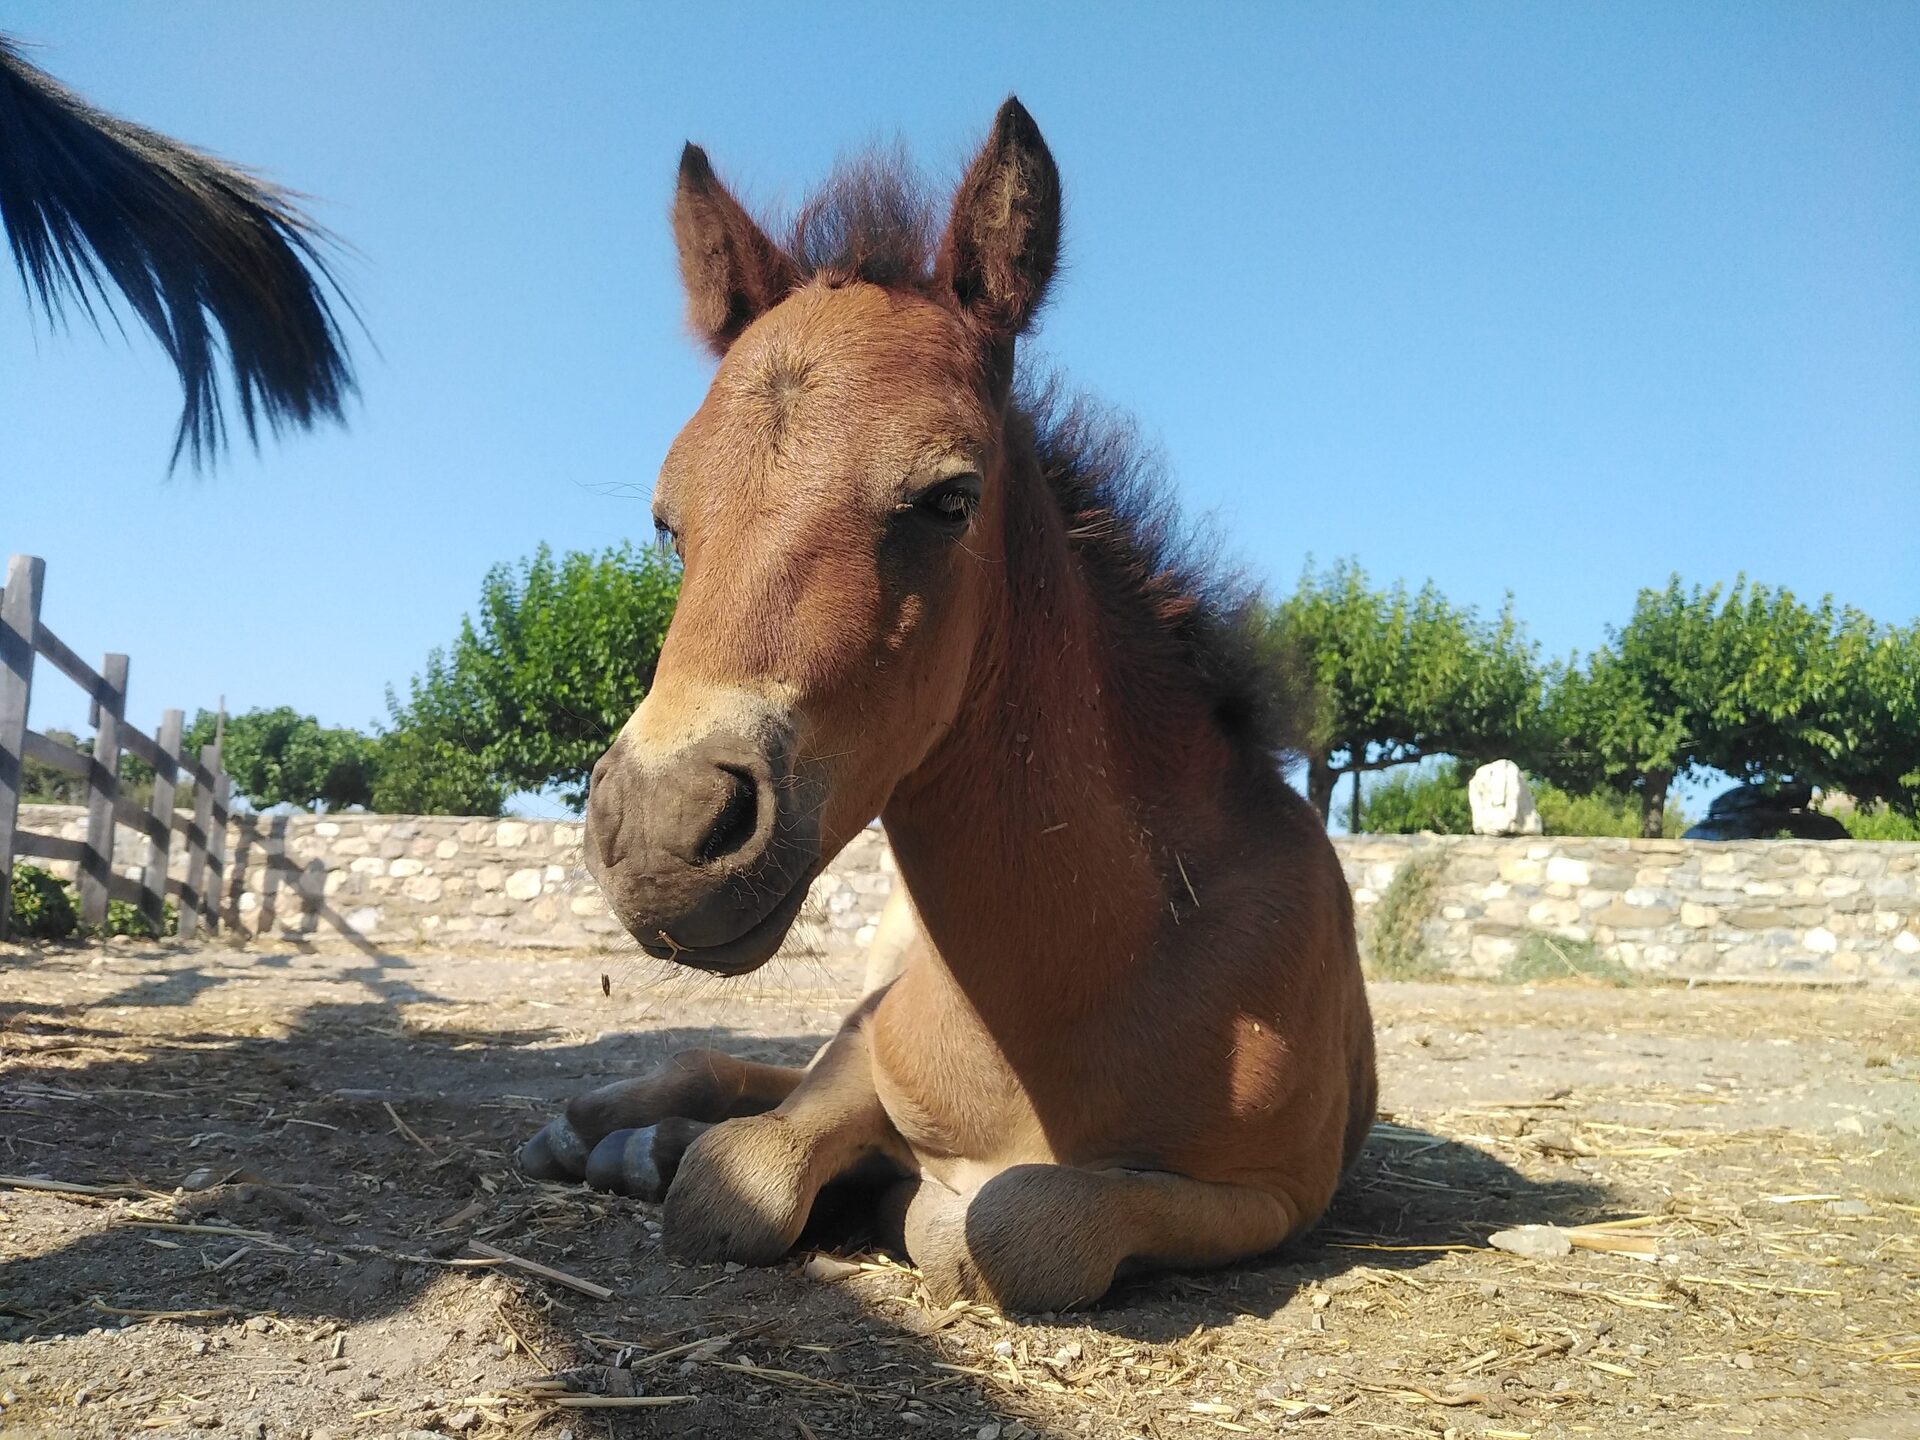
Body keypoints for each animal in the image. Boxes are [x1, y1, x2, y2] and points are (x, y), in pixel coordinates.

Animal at [518, 98, 1374, 1320]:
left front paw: (895, 1201)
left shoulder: (1278, 1197)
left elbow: (1004, 1226)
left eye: (950, 498)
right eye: (669, 523)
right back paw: (607, 1129)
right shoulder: (865, 1052)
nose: (660, 833)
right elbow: (743, 1179)